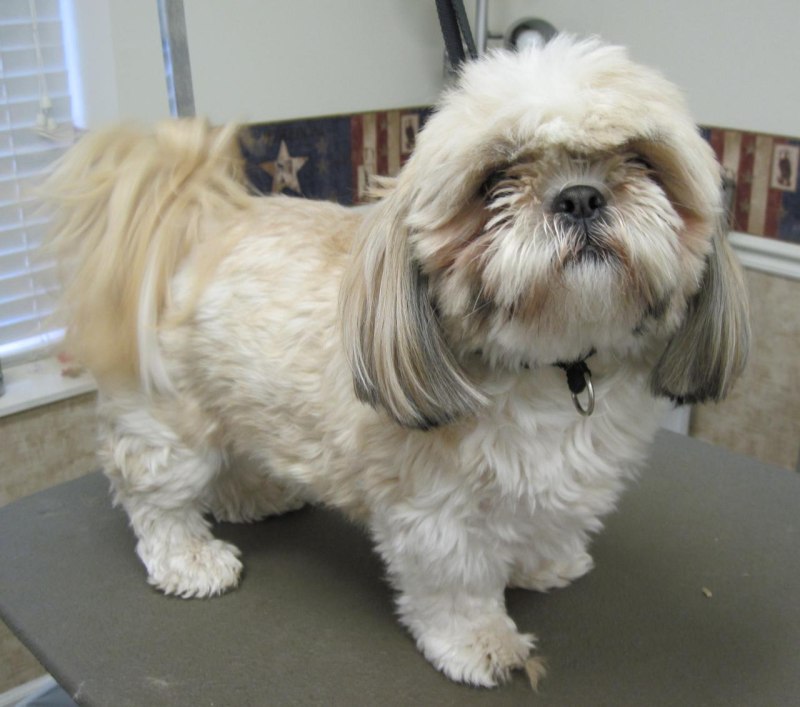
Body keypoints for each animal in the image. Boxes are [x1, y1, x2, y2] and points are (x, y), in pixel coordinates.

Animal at [44, 36, 749, 687]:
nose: (580, 196)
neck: (552, 369)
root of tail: (193, 221)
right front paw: (480, 644)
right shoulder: (436, 513)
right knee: (153, 493)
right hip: (168, 420)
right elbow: (457, 586)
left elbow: (541, 523)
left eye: (640, 159)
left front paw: (544, 562)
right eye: (495, 179)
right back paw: (188, 557)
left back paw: (252, 495)